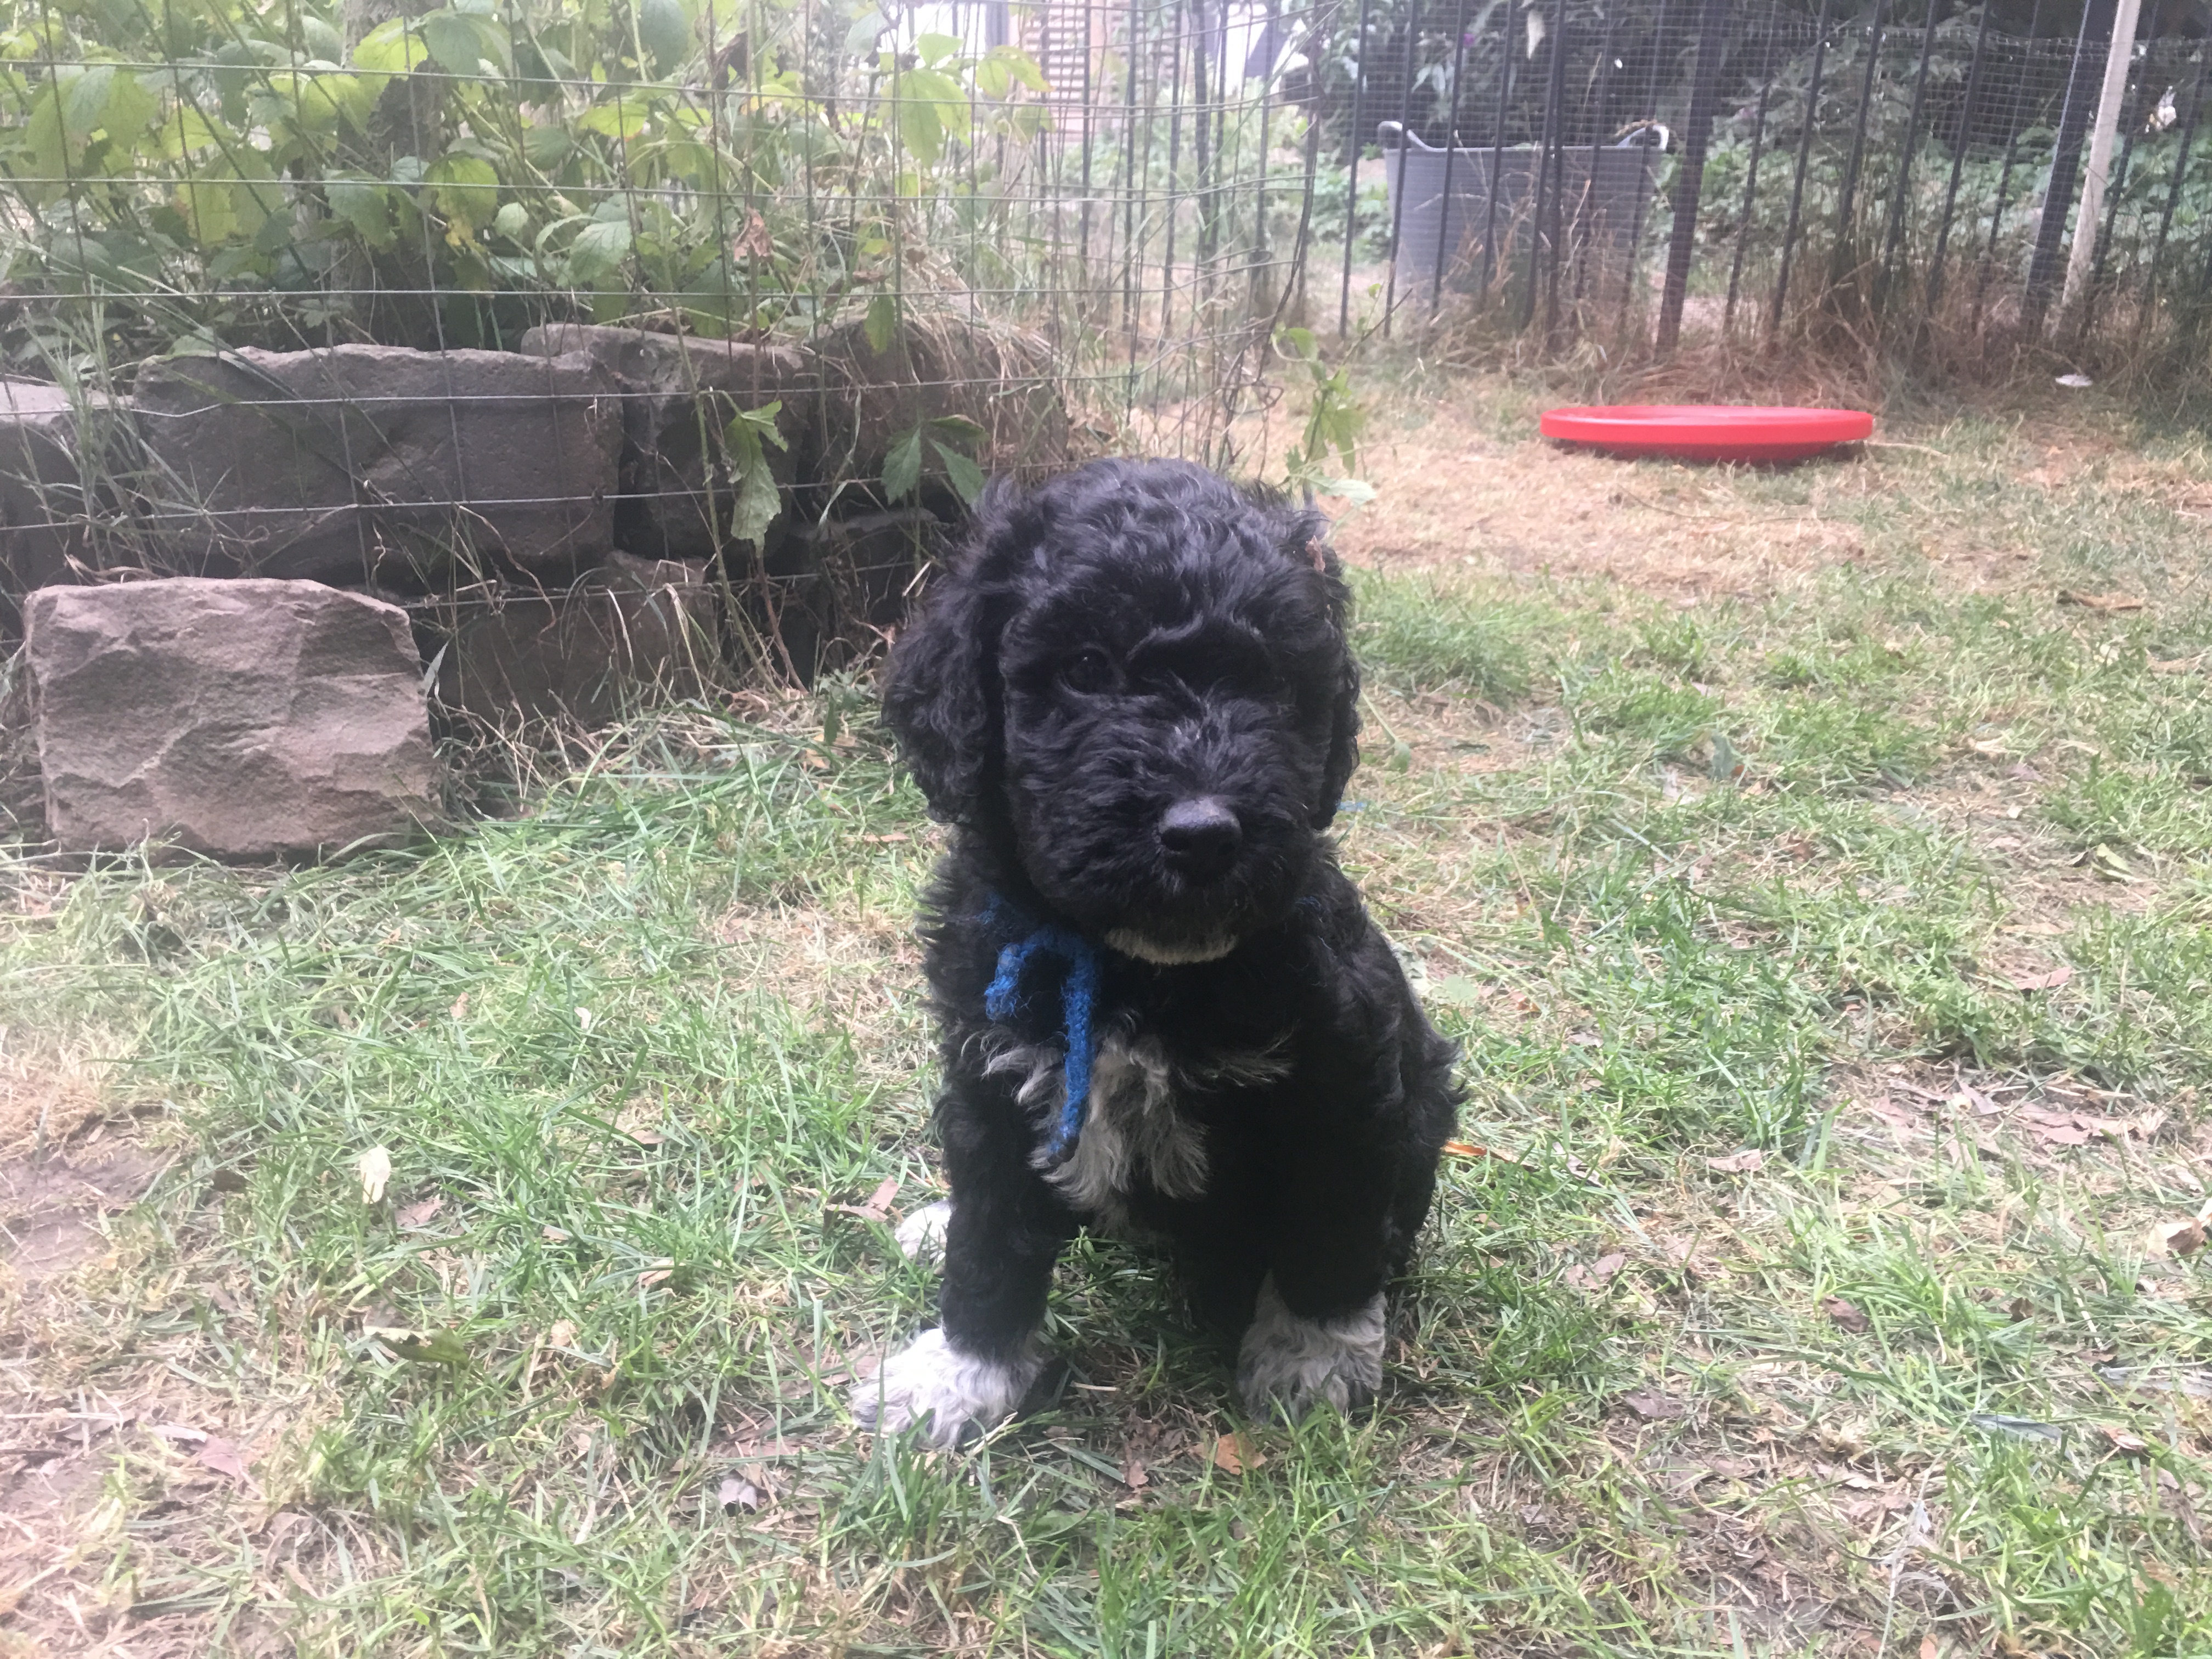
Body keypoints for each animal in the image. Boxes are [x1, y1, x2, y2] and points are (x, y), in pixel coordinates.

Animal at [853, 458, 1459, 1448]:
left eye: (1273, 683)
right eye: (1084, 669)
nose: (1204, 833)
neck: (1133, 970)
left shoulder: (1344, 1080)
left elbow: (1328, 1229)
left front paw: (1313, 1354)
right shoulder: (990, 1070)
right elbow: (991, 1233)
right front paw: (964, 1369)